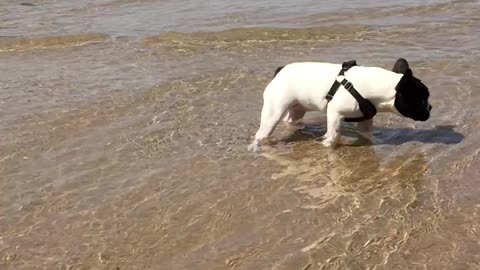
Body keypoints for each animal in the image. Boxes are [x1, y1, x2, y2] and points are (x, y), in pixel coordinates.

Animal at [248, 58, 432, 152]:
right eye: (421, 100)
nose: (430, 107)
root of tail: (280, 70)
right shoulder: (335, 113)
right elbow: (333, 134)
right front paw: (327, 144)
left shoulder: (364, 119)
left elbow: (366, 134)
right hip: (273, 113)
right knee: (261, 133)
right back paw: (255, 146)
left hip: (297, 108)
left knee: (291, 120)